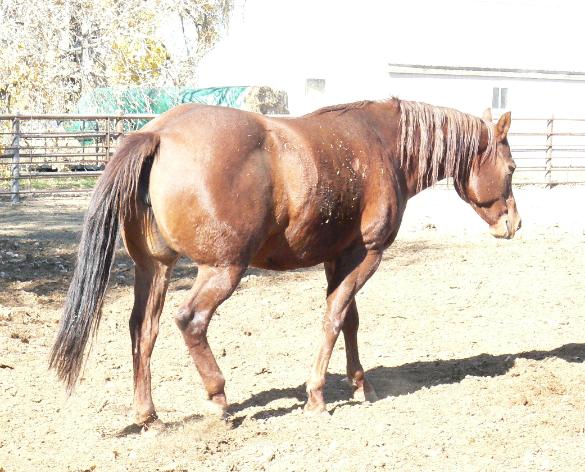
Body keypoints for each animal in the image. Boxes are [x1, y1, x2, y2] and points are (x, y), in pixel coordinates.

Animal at [49, 98, 521, 427]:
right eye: (513, 167)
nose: (513, 223)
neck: (383, 145)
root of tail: (159, 133)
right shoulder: (367, 253)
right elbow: (334, 318)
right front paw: (316, 397)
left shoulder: (338, 256)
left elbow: (349, 320)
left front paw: (359, 384)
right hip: (222, 269)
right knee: (190, 321)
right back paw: (218, 398)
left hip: (155, 268)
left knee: (142, 330)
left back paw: (147, 414)